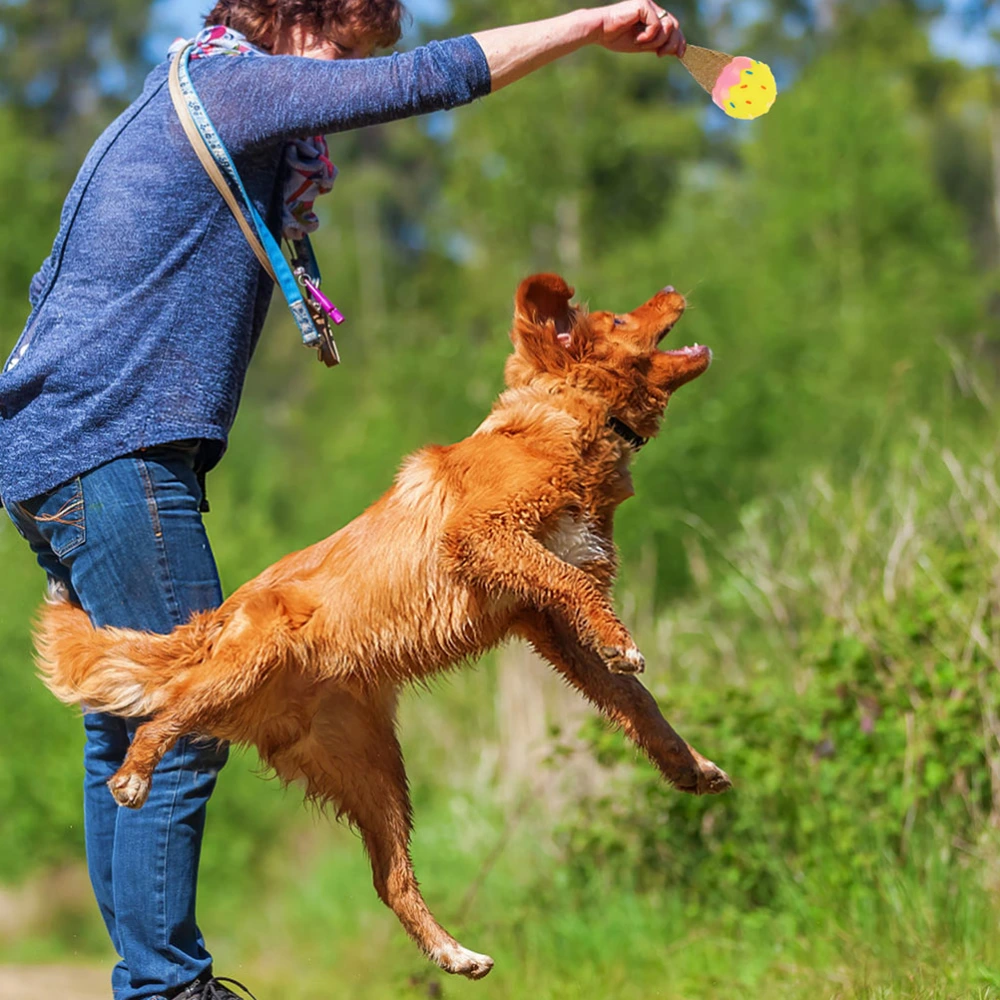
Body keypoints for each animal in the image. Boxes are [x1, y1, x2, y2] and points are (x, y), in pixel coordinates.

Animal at [37, 278, 728, 980]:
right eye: (617, 319)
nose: (672, 287)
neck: (561, 419)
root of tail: (216, 620)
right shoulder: (481, 536)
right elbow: (576, 586)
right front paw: (622, 642)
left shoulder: (548, 625)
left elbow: (636, 705)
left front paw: (691, 765)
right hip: (245, 671)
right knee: (162, 715)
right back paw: (133, 776)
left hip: (373, 769)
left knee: (389, 880)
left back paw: (455, 953)